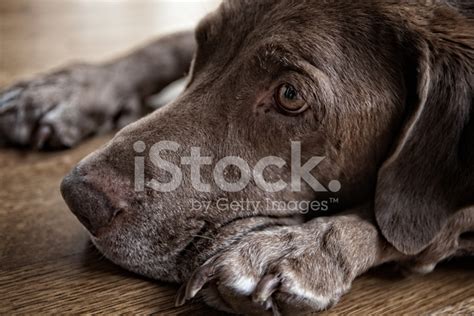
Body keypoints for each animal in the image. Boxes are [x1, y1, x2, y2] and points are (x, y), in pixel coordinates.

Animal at [0, 0, 472, 314]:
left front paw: (300, 250)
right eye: (204, 43)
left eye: (290, 95)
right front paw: (69, 89)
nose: (79, 197)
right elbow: (168, 41)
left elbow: (420, 227)